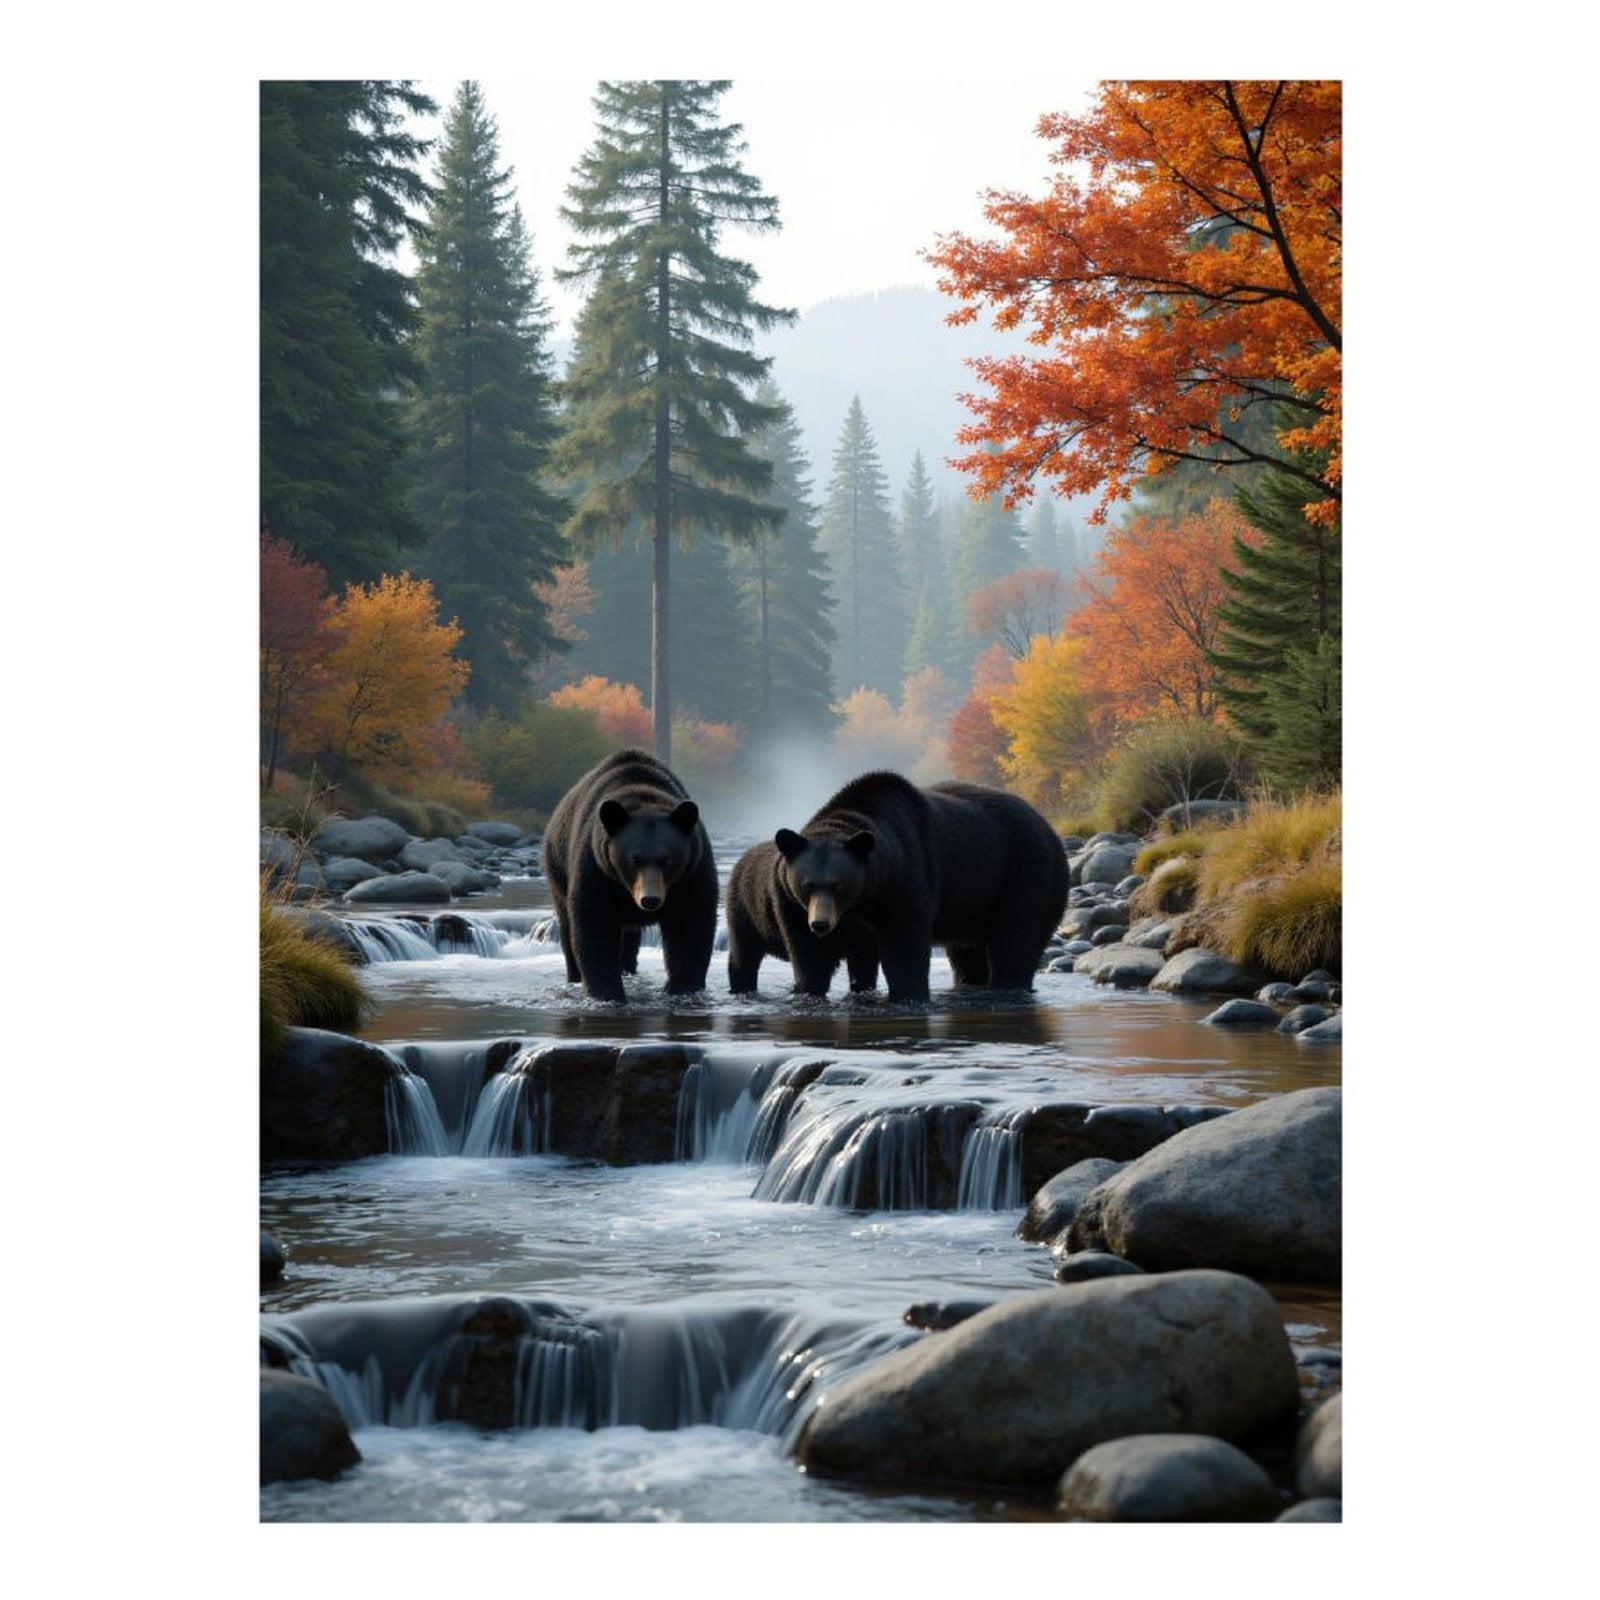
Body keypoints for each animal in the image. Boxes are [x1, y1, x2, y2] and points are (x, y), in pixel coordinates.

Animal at [541, 749, 719, 1003]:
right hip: (557, 866)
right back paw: (574, 977)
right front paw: (606, 993)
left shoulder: (693, 871)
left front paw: (682, 989)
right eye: (634, 859)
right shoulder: (596, 868)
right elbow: (593, 926)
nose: (650, 900)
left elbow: (691, 925)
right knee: (566, 925)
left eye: (667, 860)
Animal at [726, 840, 880, 997]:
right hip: (746, 912)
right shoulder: (790, 913)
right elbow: (811, 964)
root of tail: (744, 857)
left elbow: (863, 963)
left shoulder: (864, 931)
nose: (819, 923)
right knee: (743, 955)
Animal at [772, 771, 1069, 1003]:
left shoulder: (904, 879)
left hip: (1026, 874)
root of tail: (1050, 829)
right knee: (969, 956)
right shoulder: (792, 902)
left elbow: (905, 940)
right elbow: (809, 953)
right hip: (974, 904)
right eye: (807, 885)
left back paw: (1006, 986)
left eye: (839, 885)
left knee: (1015, 939)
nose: (820, 923)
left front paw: (908, 994)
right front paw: (807, 990)